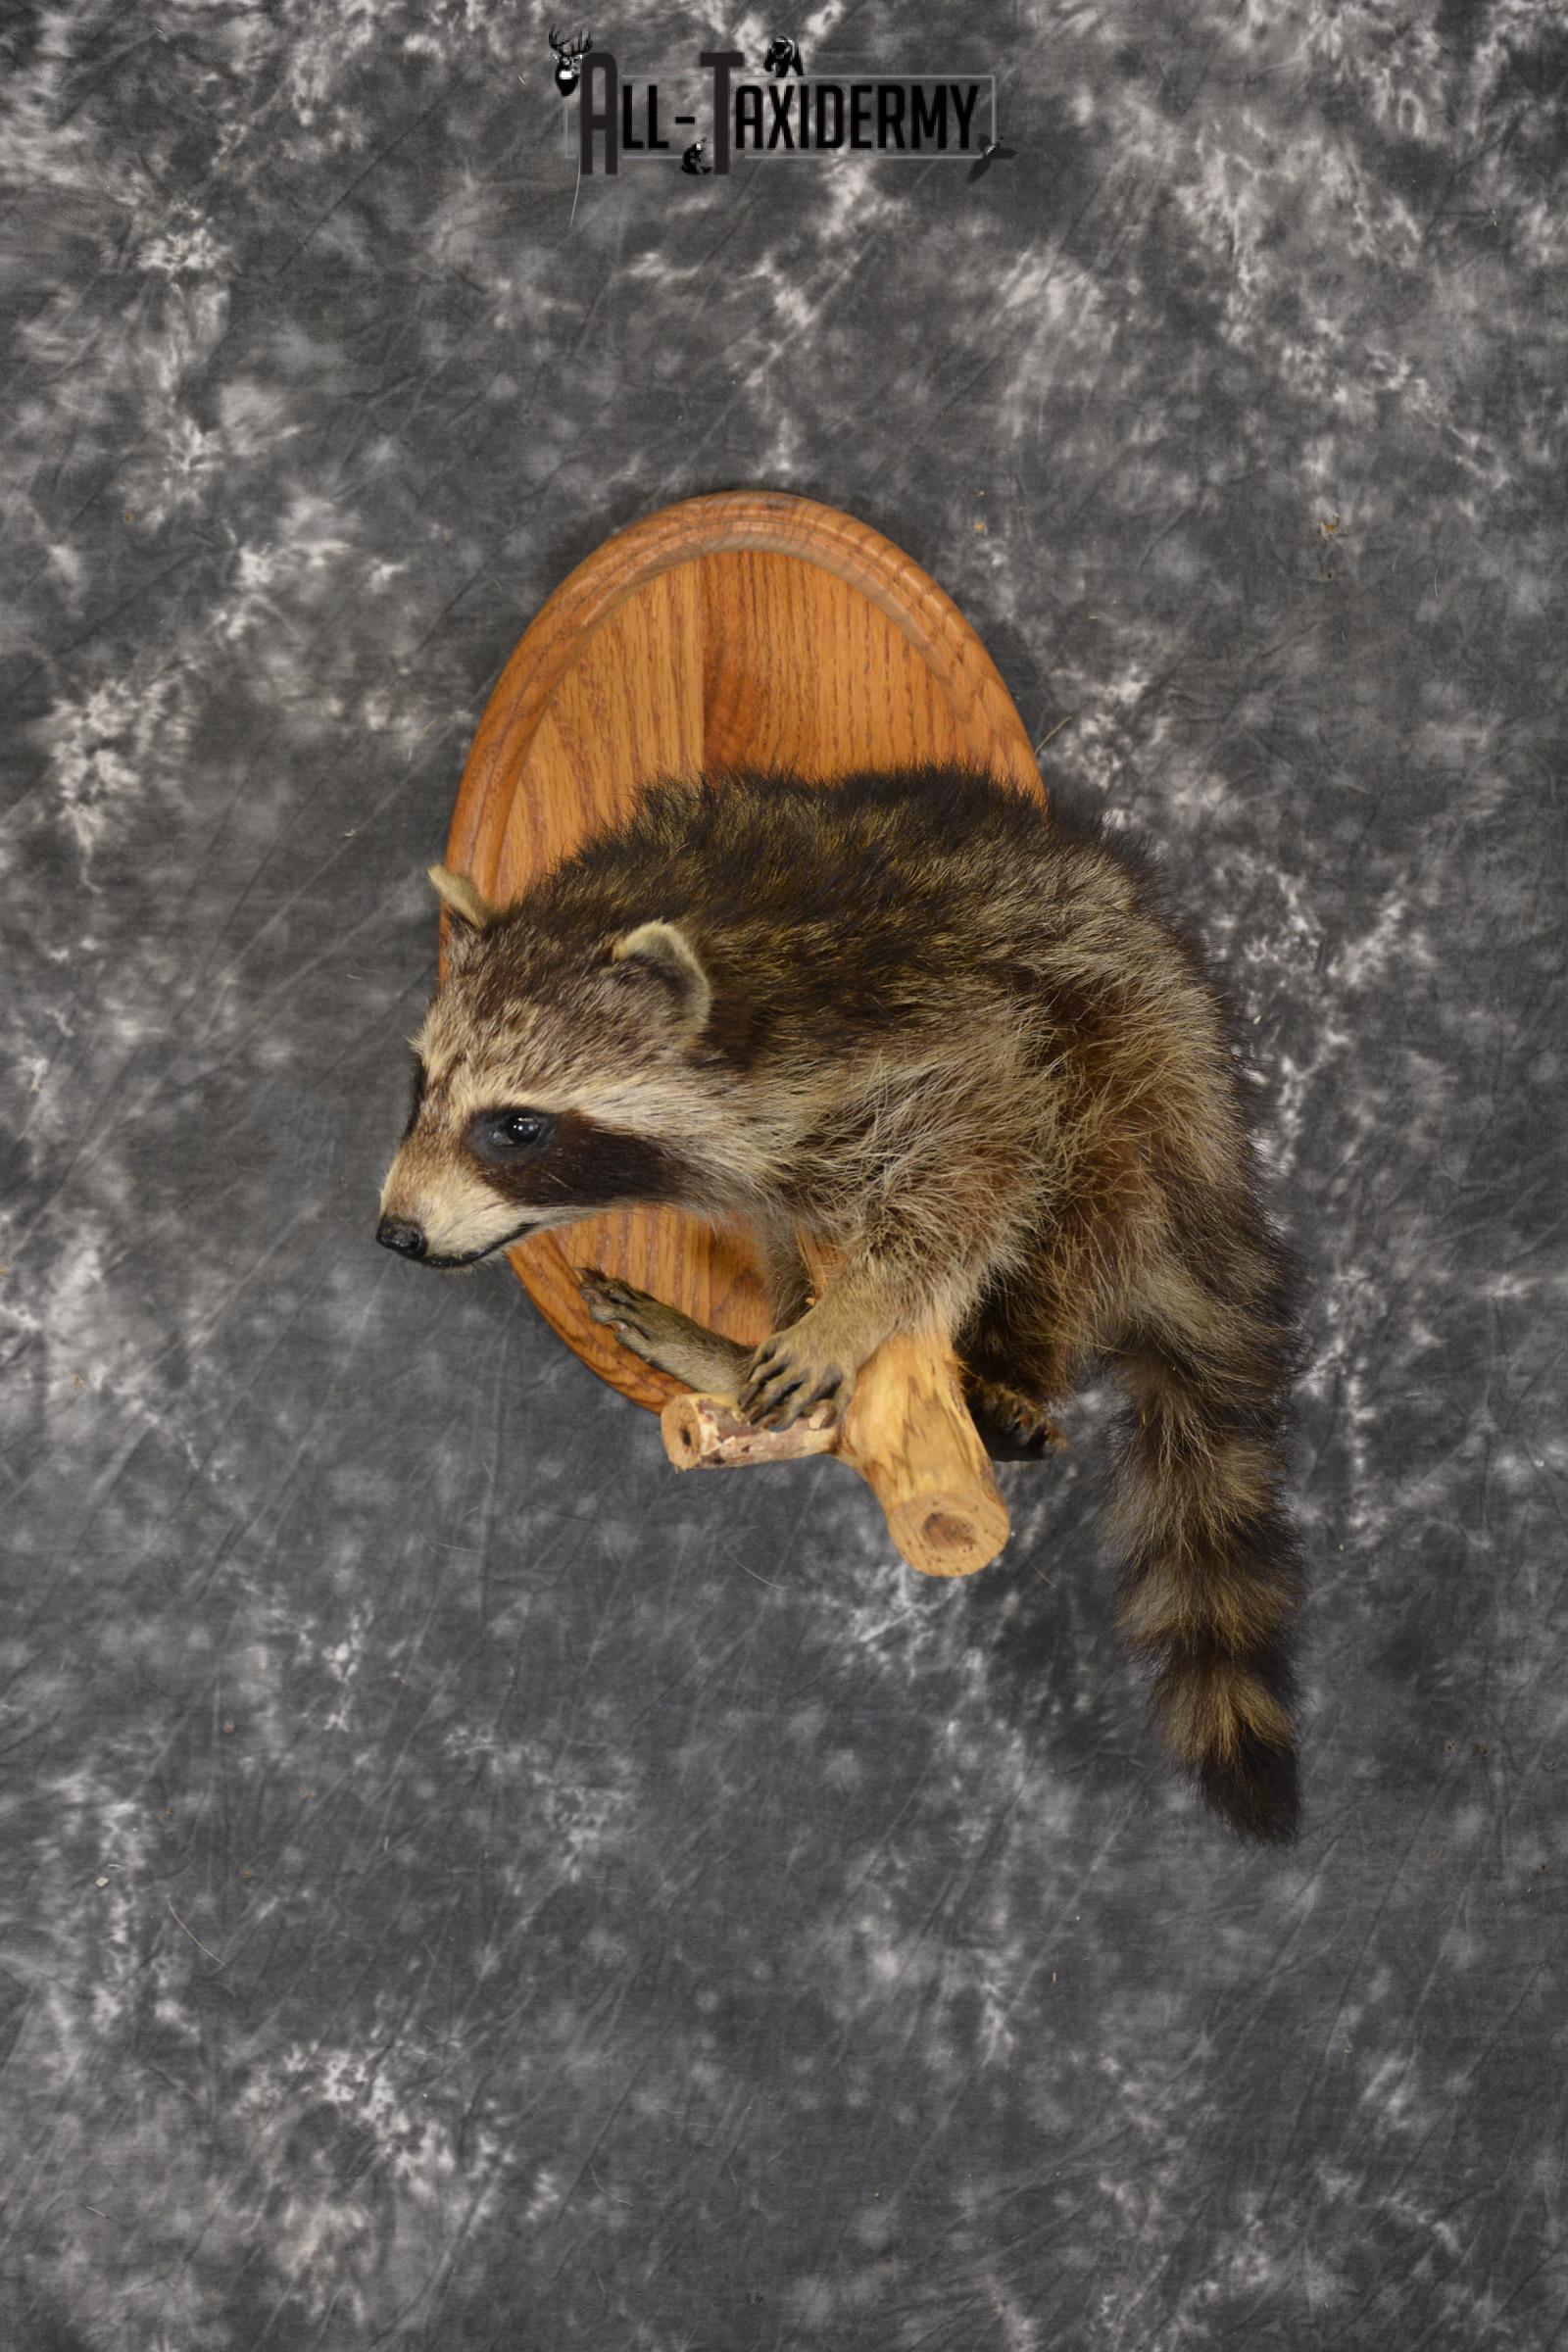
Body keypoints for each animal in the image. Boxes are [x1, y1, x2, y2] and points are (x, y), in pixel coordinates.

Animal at [378, 764, 1306, 1841]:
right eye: (421, 1085)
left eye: (517, 1127)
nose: (396, 1234)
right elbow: (786, 1212)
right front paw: (790, 1316)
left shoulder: (920, 1014)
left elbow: (984, 1148)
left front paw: (859, 1309)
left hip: (1142, 1068)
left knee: (1085, 1191)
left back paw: (1014, 1363)